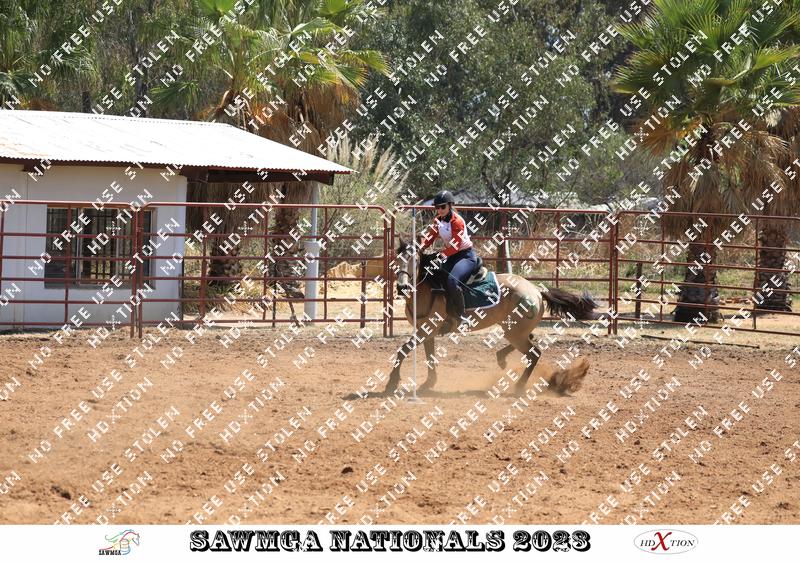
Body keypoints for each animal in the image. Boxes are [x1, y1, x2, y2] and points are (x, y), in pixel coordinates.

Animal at [383, 240, 598, 397]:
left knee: (534, 353)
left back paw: (519, 386)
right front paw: (429, 383)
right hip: (514, 329)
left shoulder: (426, 329)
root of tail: (536, 290)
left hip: (515, 331)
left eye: (415, 260)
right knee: (531, 340)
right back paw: (502, 358)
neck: (429, 287)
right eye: (397, 257)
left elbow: (402, 351)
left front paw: (391, 383)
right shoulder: (427, 331)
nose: (402, 287)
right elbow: (429, 357)